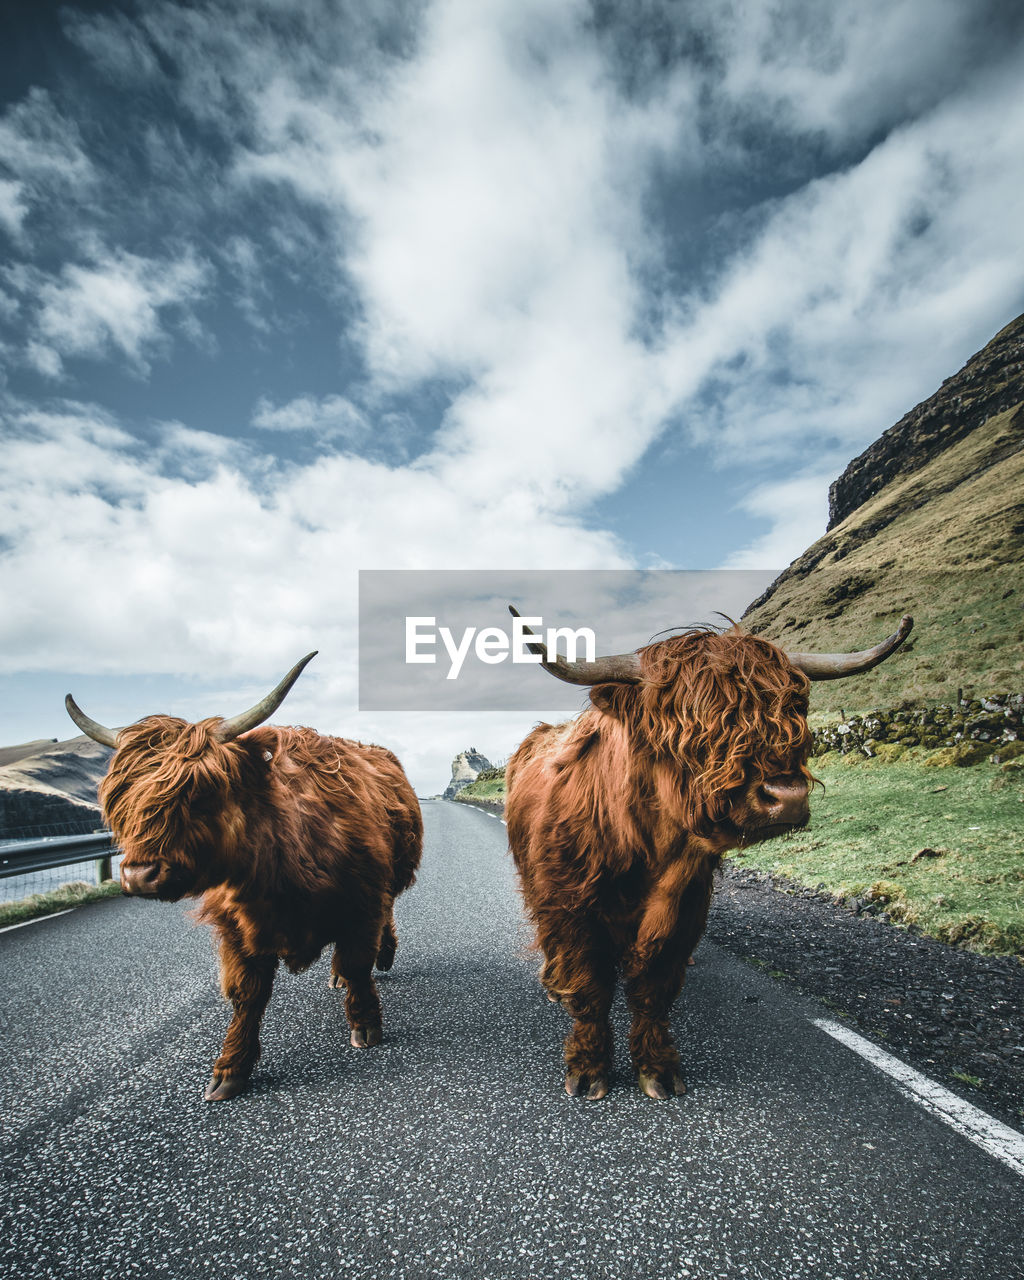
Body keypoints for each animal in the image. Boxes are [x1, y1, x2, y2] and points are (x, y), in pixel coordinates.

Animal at [66, 655, 419, 1105]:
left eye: (200, 793)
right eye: (121, 801)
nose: (139, 875)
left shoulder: (363, 902)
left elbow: (358, 963)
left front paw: (366, 1024)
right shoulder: (236, 926)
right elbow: (247, 994)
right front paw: (231, 1067)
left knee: (383, 922)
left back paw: (381, 956)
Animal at [504, 606, 911, 1100]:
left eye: (795, 708)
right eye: (688, 716)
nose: (788, 796)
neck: (647, 849)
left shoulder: (685, 909)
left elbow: (653, 990)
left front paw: (657, 1067)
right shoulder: (570, 909)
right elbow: (589, 988)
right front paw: (588, 1067)